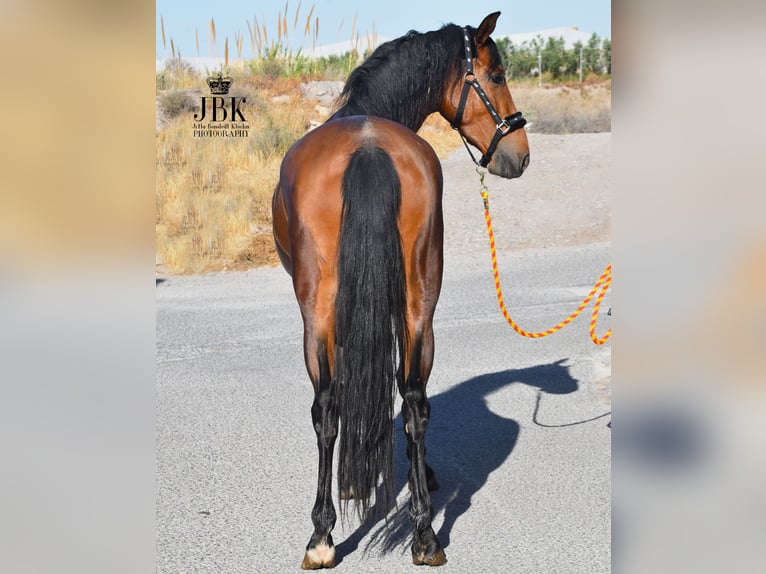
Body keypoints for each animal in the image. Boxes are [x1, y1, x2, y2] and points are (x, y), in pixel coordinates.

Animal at [272, 11, 532, 568]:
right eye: (497, 76)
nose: (520, 155)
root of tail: (369, 145)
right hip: (419, 303)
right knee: (414, 402)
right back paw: (425, 535)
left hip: (317, 310)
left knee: (326, 407)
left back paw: (322, 536)